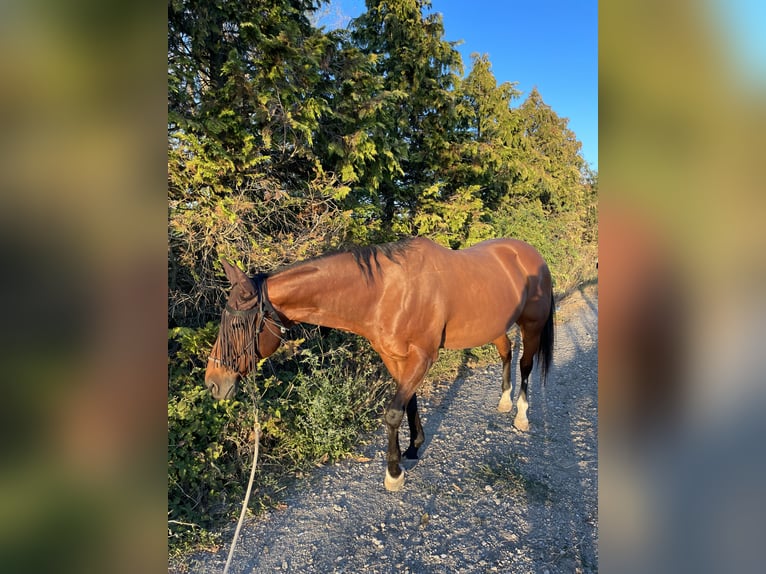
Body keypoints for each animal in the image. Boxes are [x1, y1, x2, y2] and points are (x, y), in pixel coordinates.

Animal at [205, 237, 554, 491]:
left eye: (236, 325)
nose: (213, 382)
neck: (387, 293)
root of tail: (529, 253)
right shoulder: (395, 356)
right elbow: (409, 402)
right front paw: (413, 448)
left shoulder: (423, 356)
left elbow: (392, 413)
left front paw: (394, 473)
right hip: (496, 327)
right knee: (507, 353)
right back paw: (504, 401)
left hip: (532, 325)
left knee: (525, 365)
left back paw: (521, 414)